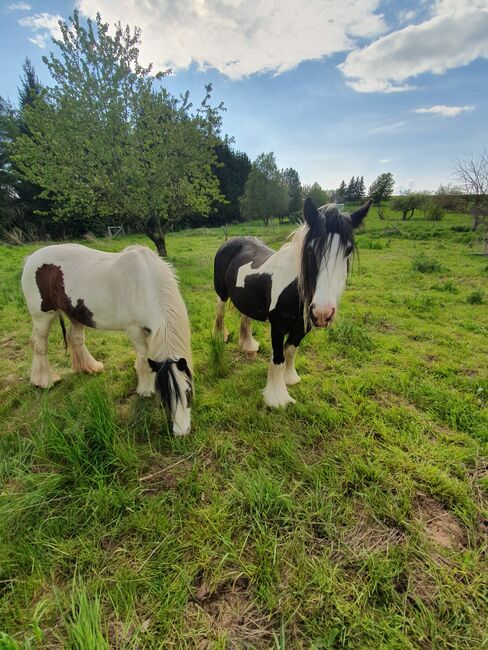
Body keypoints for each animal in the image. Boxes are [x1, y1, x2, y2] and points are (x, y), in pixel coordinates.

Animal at [21, 243, 193, 436]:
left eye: (188, 392)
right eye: (166, 396)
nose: (182, 432)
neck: (144, 283)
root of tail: (30, 259)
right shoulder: (134, 331)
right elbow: (143, 359)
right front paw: (145, 389)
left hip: (76, 313)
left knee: (75, 338)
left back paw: (90, 367)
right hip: (42, 317)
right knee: (39, 345)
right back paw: (44, 381)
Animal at [212, 196, 372, 404]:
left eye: (348, 250)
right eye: (310, 250)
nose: (323, 313)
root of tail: (230, 241)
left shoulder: (303, 327)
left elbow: (290, 351)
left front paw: (290, 379)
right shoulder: (278, 326)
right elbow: (278, 358)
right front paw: (277, 398)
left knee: (245, 317)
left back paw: (248, 345)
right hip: (221, 293)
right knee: (220, 312)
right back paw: (219, 337)